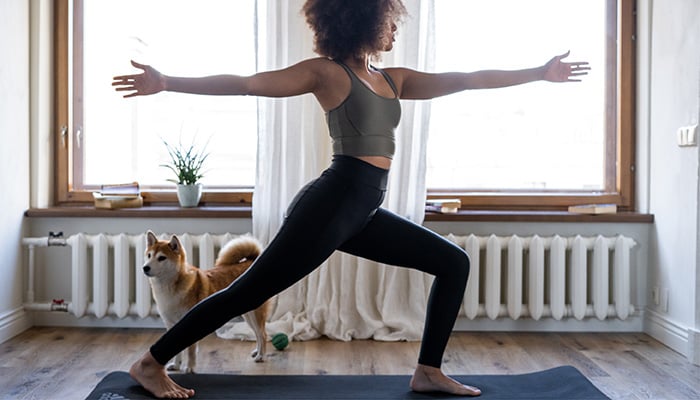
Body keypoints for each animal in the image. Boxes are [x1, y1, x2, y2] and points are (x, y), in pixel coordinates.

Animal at [143, 230, 270, 374]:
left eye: (161, 258)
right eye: (149, 255)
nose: (145, 268)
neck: (169, 289)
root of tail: (252, 261)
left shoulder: (189, 322)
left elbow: (191, 351)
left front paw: (189, 367)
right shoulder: (171, 325)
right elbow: (175, 349)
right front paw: (175, 365)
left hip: (255, 314)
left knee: (263, 334)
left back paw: (261, 356)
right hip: (248, 315)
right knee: (258, 334)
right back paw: (257, 352)